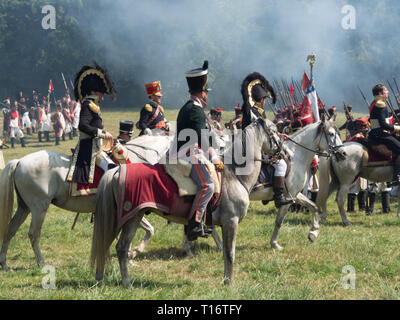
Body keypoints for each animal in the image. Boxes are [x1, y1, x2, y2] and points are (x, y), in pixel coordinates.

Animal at [0, 134, 173, 272]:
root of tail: (20, 161)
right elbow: (147, 231)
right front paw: (131, 254)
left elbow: (145, 231)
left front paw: (129, 257)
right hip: (39, 208)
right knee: (34, 234)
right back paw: (41, 263)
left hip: (24, 207)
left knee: (11, 229)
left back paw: (4, 264)